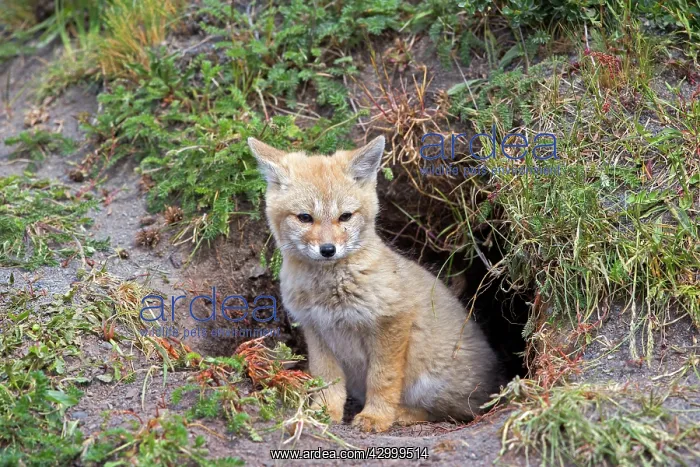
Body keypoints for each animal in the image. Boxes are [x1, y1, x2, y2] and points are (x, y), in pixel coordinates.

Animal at [248, 135, 504, 432]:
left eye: (345, 216)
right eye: (304, 217)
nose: (328, 249)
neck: (329, 291)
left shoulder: (392, 323)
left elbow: (383, 379)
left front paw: (376, 417)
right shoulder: (316, 330)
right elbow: (327, 380)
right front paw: (322, 413)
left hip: (432, 380)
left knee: (457, 412)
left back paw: (402, 414)